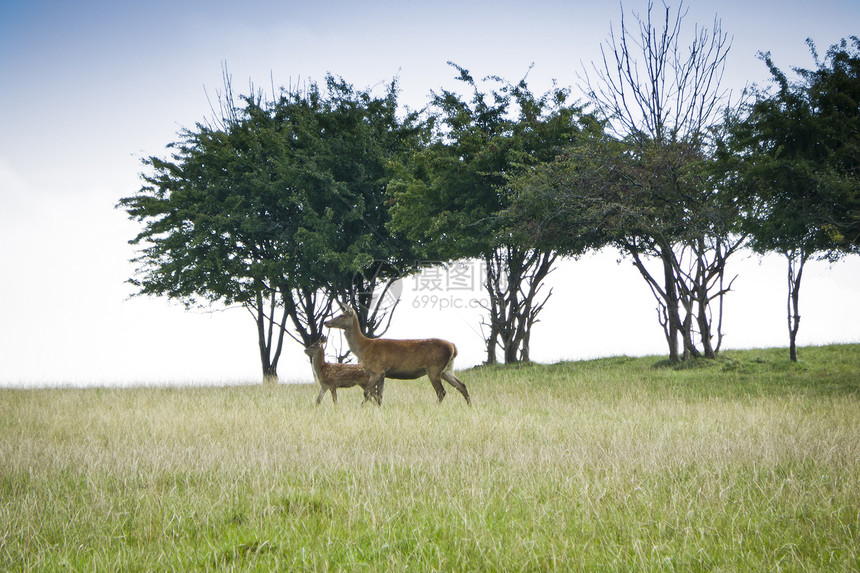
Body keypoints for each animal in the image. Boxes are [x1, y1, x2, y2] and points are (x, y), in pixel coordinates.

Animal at [324, 308, 474, 406]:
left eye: (341, 315)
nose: (326, 322)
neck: (363, 348)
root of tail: (453, 347)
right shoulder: (383, 373)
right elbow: (379, 395)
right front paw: (378, 408)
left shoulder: (376, 370)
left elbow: (367, 392)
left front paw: (362, 408)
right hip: (447, 369)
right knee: (461, 385)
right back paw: (470, 406)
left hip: (434, 368)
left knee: (441, 392)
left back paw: (436, 407)